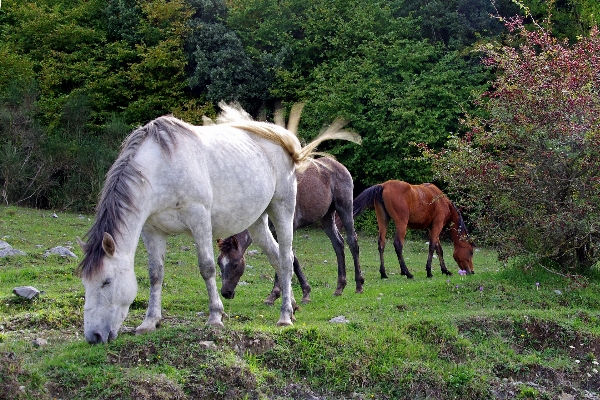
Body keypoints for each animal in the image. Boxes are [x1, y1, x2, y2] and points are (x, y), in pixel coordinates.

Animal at [217, 156, 364, 304]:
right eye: (219, 263)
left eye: (235, 264)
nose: (225, 292)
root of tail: (337, 165)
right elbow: (288, 259)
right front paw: (302, 292)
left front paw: (277, 294)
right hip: (326, 217)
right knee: (338, 244)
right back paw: (339, 287)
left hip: (344, 208)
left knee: (352, 241)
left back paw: (359, 285)